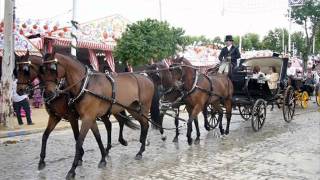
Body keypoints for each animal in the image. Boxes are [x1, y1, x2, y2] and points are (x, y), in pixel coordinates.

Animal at [40, 51, 154, 179]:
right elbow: (98, 137)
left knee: (145, 124)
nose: (49, 93)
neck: (85, 85)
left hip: (142, 108)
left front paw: (72, 170)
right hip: (133, 109)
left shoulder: (86, 118)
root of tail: (147, 78)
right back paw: (140, 145)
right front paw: (103, 159)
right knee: (141, 124)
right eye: (42, 70)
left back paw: (140, 150)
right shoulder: (90, 118)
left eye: (53, 68)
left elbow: (79, 141)